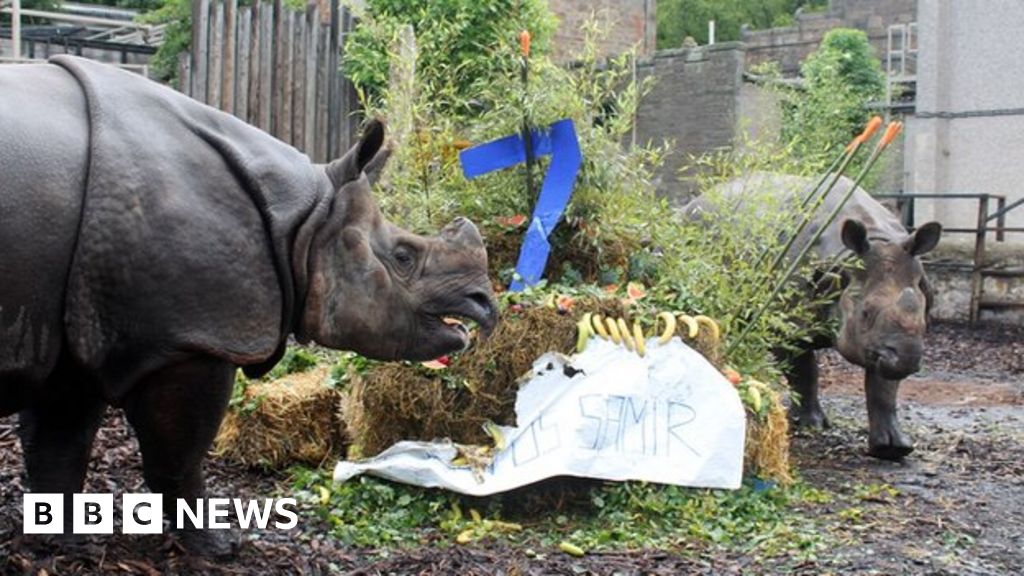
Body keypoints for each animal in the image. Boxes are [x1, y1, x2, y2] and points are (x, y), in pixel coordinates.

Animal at [0, 54, 495, 553]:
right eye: (403, 257)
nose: (485, 305)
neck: (304, 222)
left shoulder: (76, 329)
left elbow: (60, 446)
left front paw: (60, 541)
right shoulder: (193, 337)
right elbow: (178, 457)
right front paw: (220, 546)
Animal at [684, 172, 937, 459]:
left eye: (923, 313)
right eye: (865, 313)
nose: (907, 359)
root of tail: (696, 200)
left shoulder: (882, 343)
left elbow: (883, 386)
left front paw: (892, 449)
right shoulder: (785, 323)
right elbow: (803, 370)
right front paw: (810, 426)